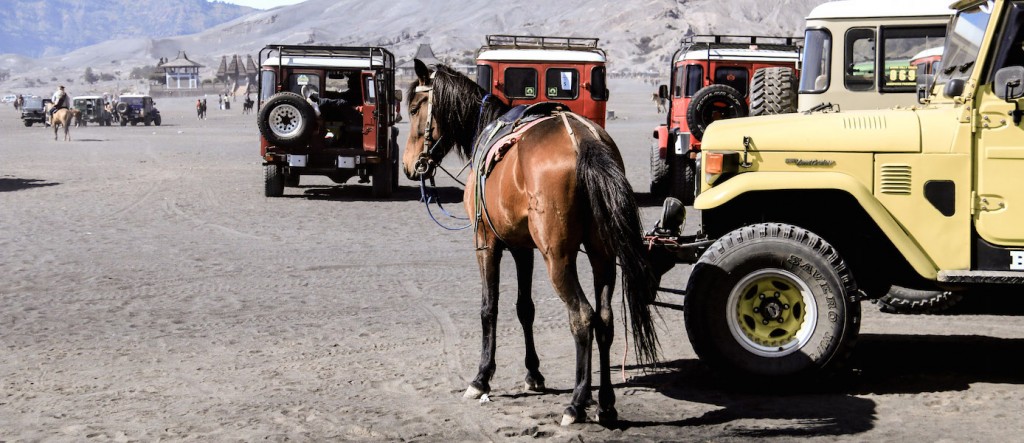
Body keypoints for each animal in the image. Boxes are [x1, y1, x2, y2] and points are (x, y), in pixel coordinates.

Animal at [399, 60, 655, 425]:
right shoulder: (522, 247)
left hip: (558, 257)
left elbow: (488, 308)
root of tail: (584, 143)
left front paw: (481, 378)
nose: (409, 165)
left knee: (582, 317)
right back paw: (605, 403)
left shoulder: (486, 241)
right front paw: (534, 374)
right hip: (601, 253)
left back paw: (577, 402)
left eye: (414, 109)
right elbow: (525, 308)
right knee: (604, 320)